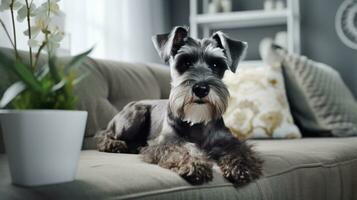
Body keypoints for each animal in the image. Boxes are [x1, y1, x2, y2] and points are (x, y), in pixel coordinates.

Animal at [96, 26, 262, 186]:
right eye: (185, 62)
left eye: (216, 64)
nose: (201, 89)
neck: (197, 122)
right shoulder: (167, 142)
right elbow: (183, 149)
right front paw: (195, 166)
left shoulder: (229, 141)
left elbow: (239, 151)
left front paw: (241, 167)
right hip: (135, 115)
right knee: (104, 134)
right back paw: (114, 144)